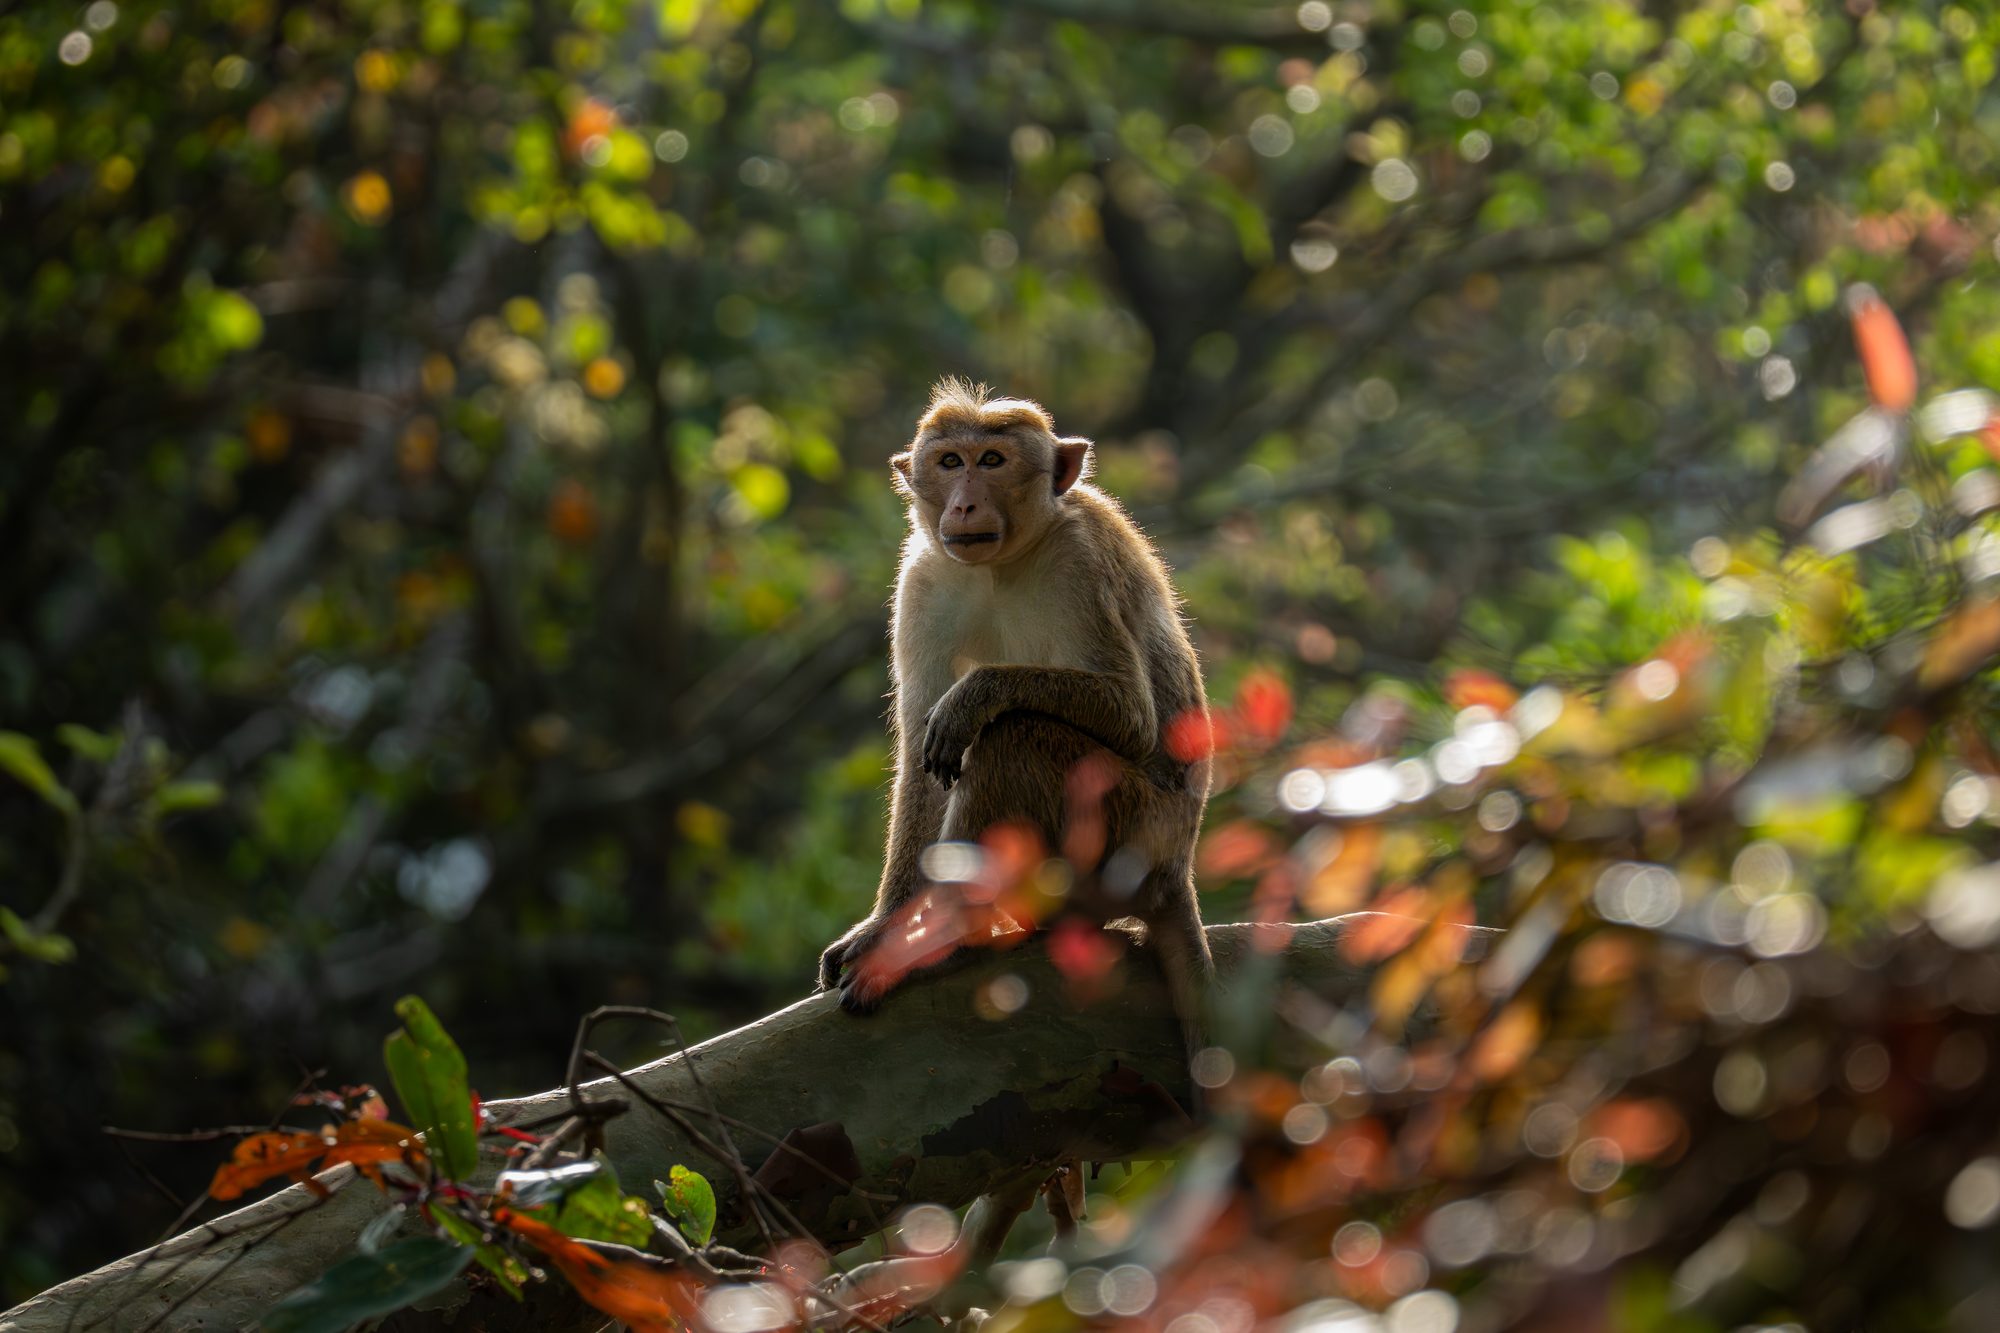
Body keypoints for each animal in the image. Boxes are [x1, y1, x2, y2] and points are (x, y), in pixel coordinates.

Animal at [817, 377, 1214, 1064]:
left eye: (993, 461)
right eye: (951, 462)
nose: (965, 503)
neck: (1003, 565)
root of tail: (1176, 872)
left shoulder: (1080, 563)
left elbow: (1132, 716)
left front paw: (974, 696)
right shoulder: (922, 579)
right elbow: (921, 748)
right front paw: (883, 926)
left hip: (1133, 834)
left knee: (1012, 737)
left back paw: (945, 937)